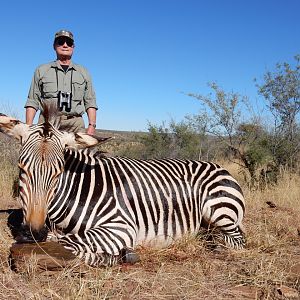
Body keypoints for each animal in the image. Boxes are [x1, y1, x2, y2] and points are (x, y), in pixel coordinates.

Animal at [0, 110, 245, 268]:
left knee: (236, 240)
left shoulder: (122, 226)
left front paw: (115, 257)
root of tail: (221, 168)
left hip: (218, 211)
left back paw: (213, 243)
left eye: (59, 172)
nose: (33, 233)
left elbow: (66, 242)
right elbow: (57, 238)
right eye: (21, 168)